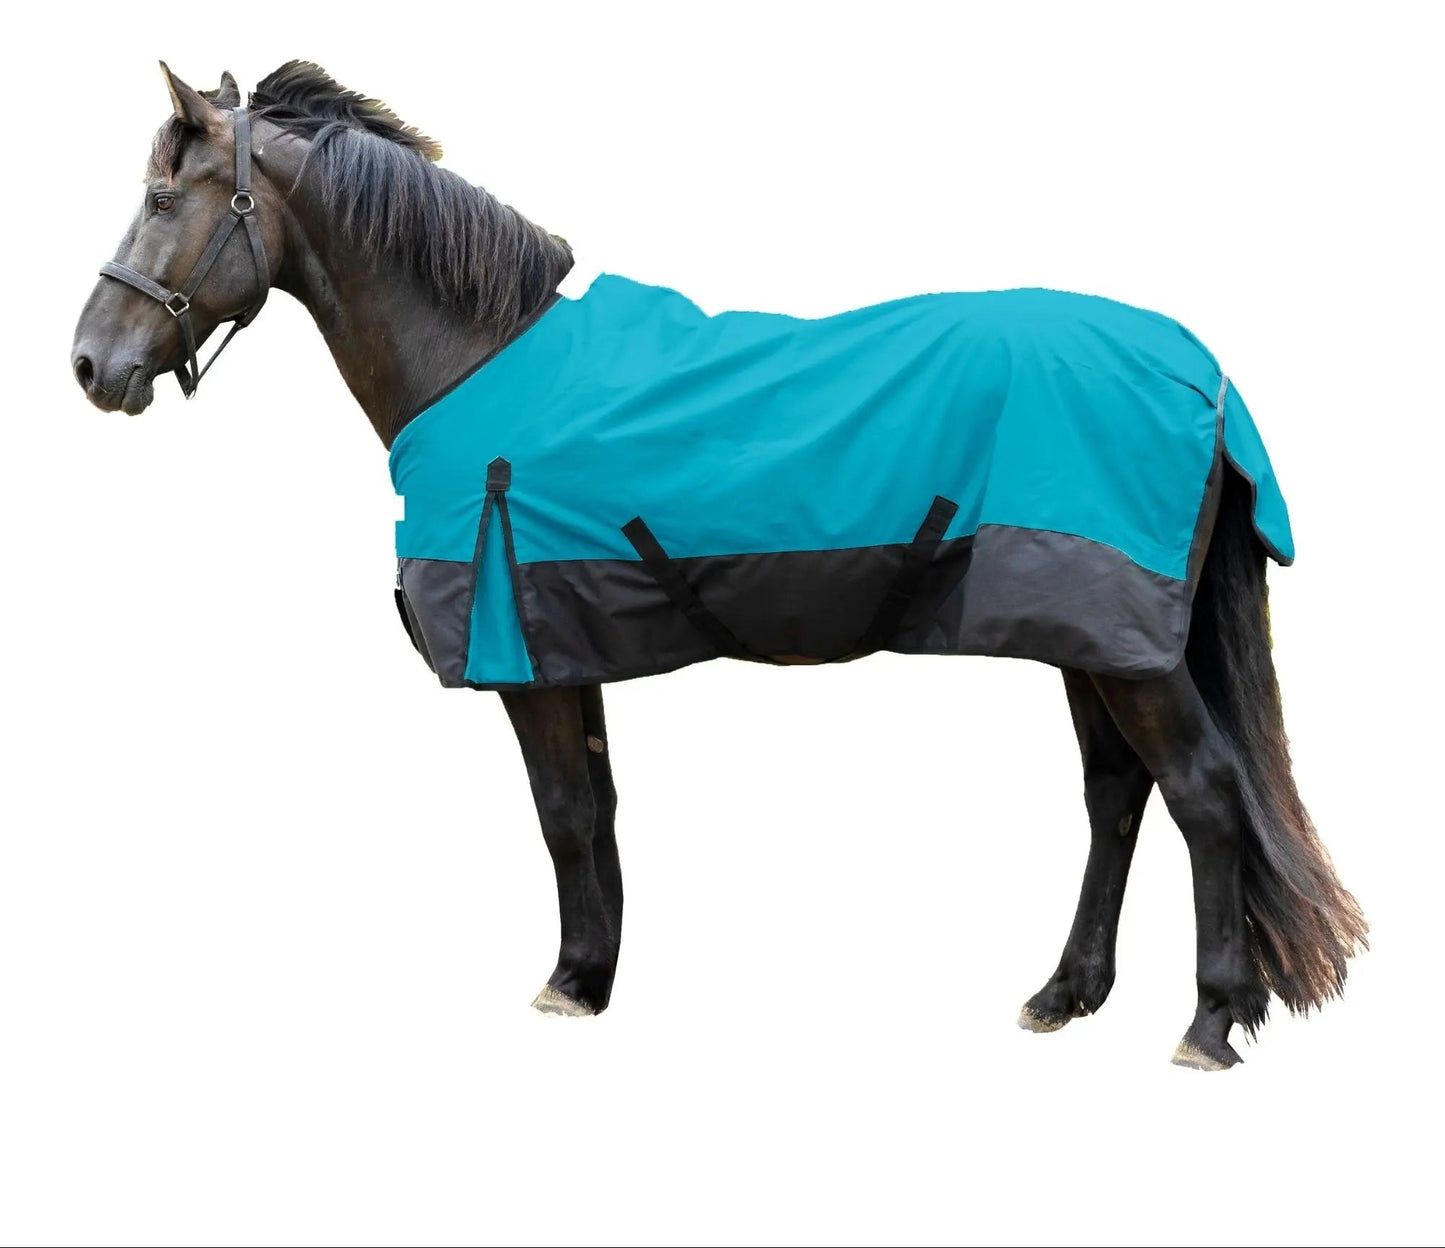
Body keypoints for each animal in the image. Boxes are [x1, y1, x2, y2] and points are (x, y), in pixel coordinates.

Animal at [70, 61, 1366, 1070]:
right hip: (1086, 639)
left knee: (1201, 795)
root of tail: (1197, 371)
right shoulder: (564, 645)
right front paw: (592, 975)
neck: (479, 359)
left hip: (1125, 649)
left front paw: (566, 983)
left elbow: (560, 813)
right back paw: (1065, 995)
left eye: (160, 197)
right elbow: (593, 810)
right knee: (1115, 796)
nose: (89, 364)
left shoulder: (524, 655)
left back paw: (1206, 1023)